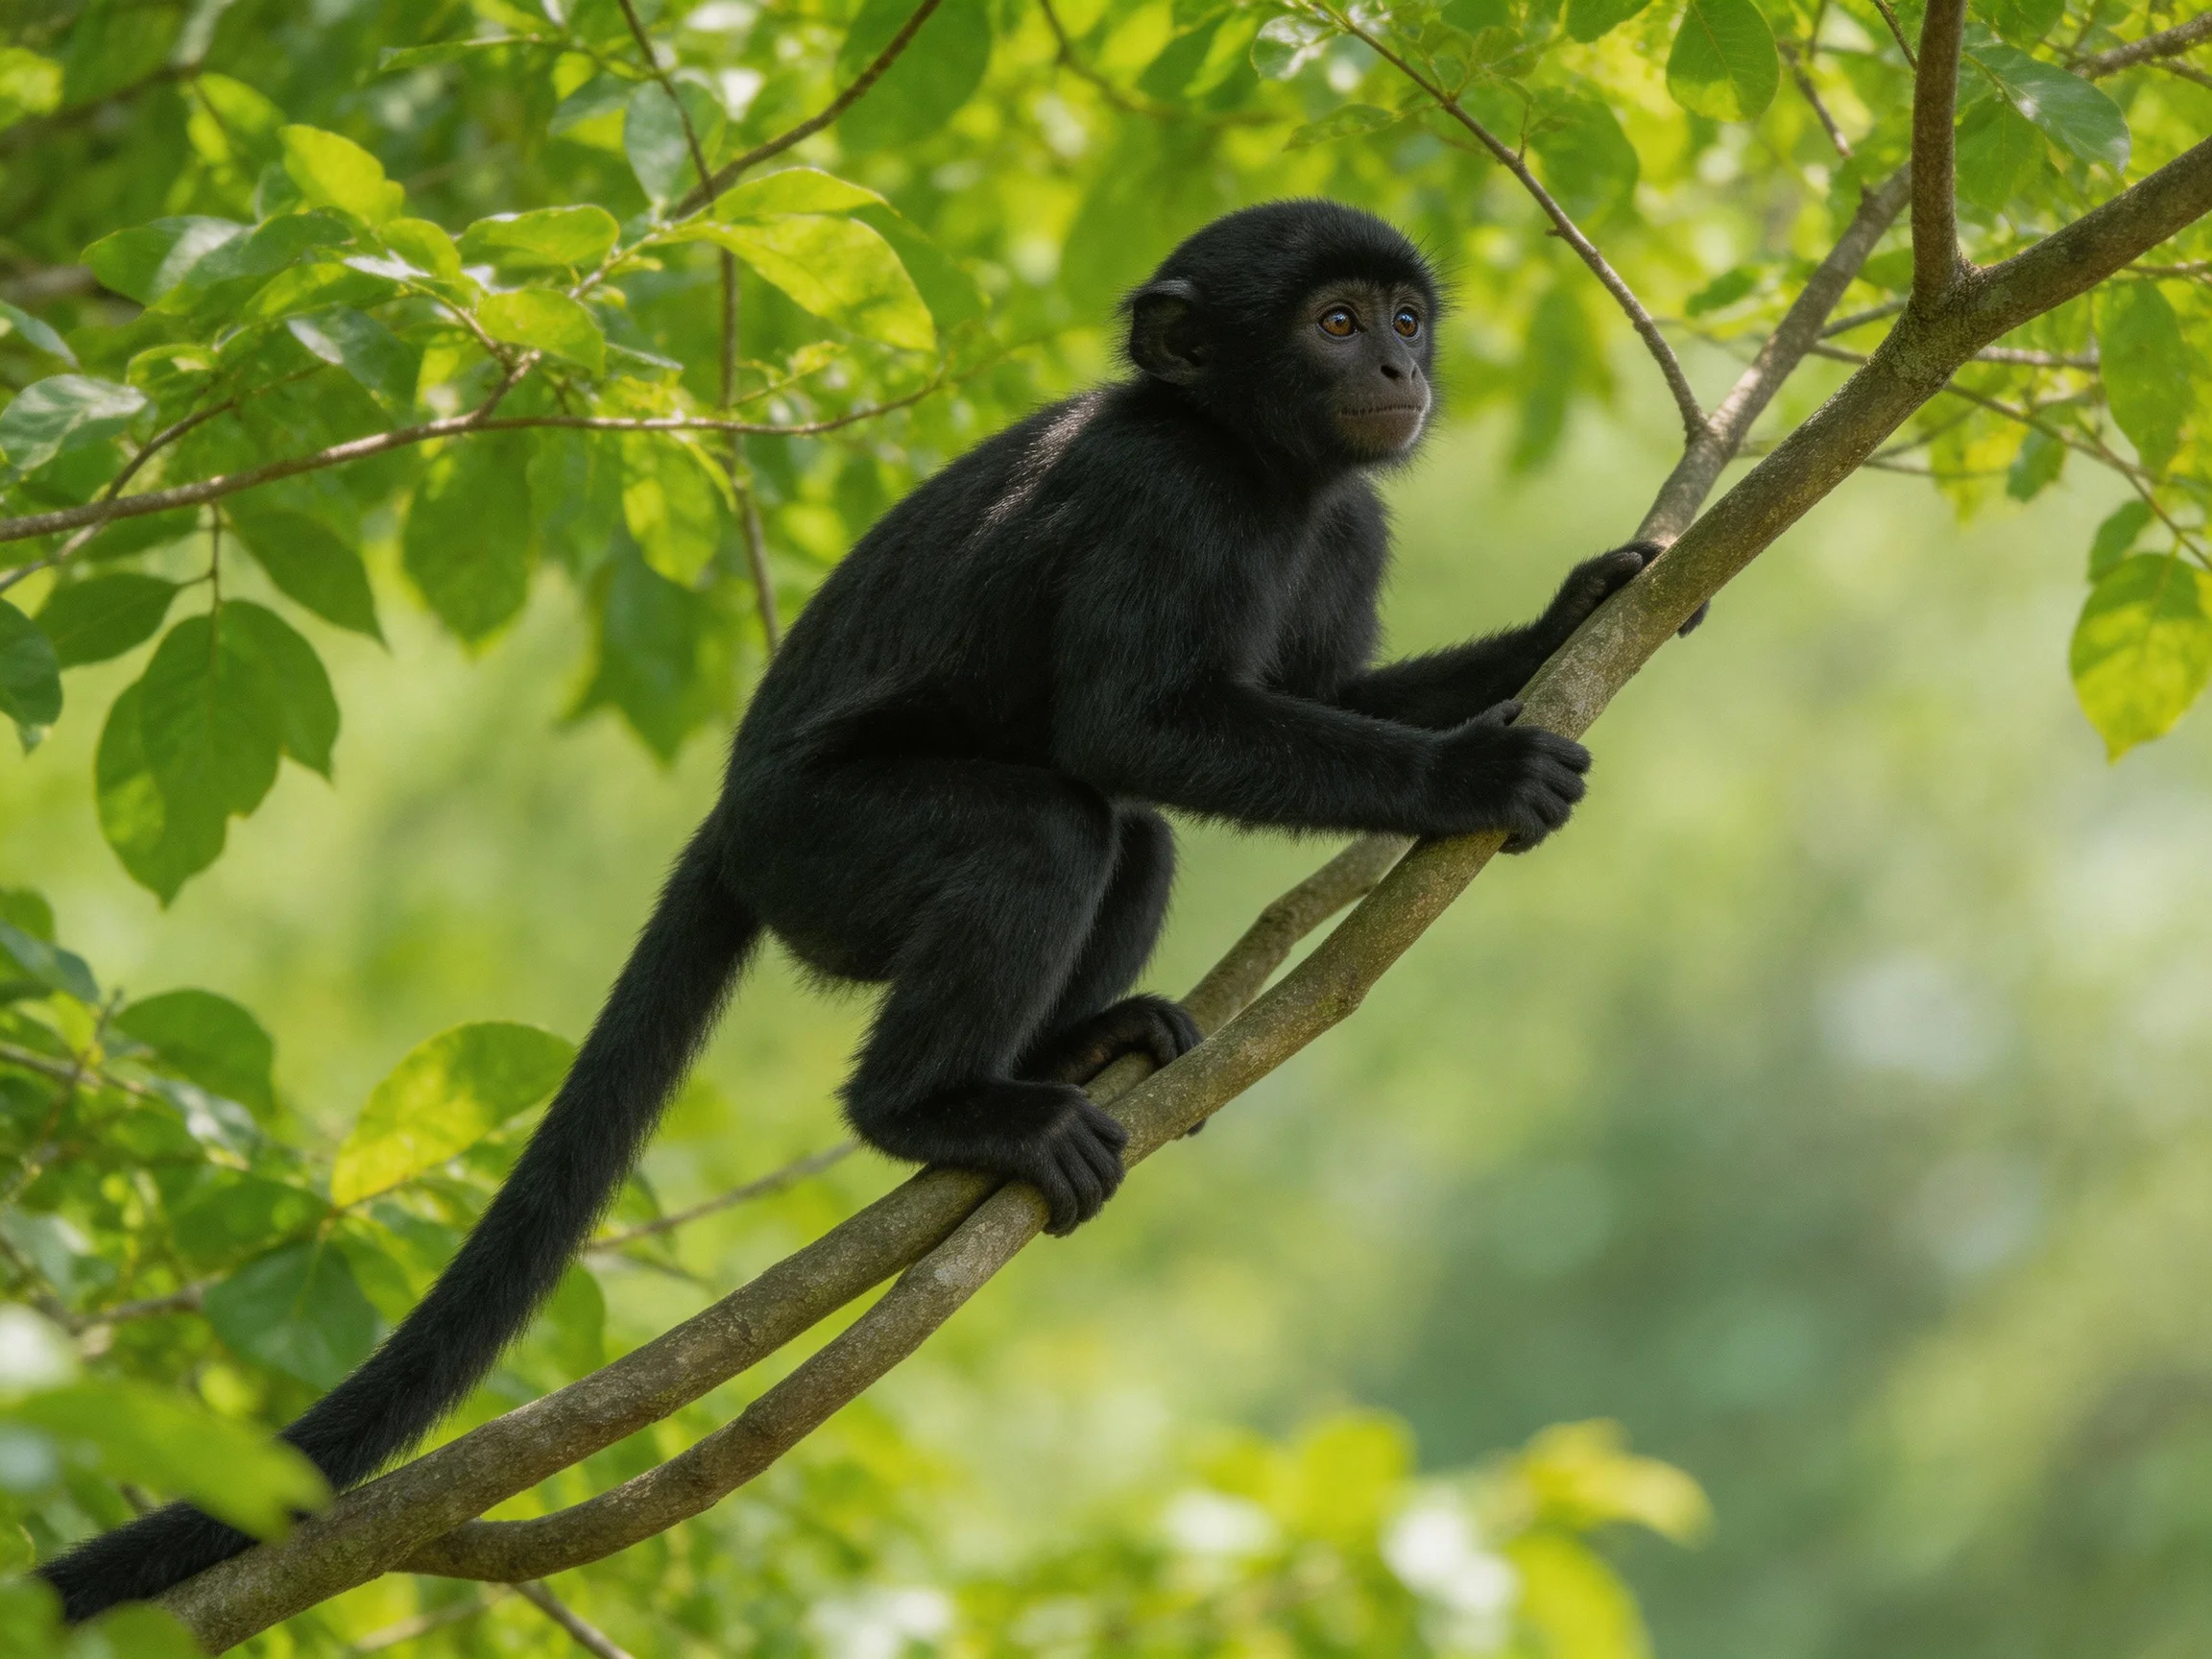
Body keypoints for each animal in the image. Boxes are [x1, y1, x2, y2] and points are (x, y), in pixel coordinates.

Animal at [43, 199, 1681, 1618]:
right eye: (1336, 324)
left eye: (1405, 316)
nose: (1403, 368)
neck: (1259, 469)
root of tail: (731, 821)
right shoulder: (1163, 496)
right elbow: (1134, 729)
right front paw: (1470, 774)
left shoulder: (1349, 526)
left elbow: (1308, 698)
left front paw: (1581, 611)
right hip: (822, 848)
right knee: (1047, 827)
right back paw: (934, 1110)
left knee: (1130, 841)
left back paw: (1078, 1046)